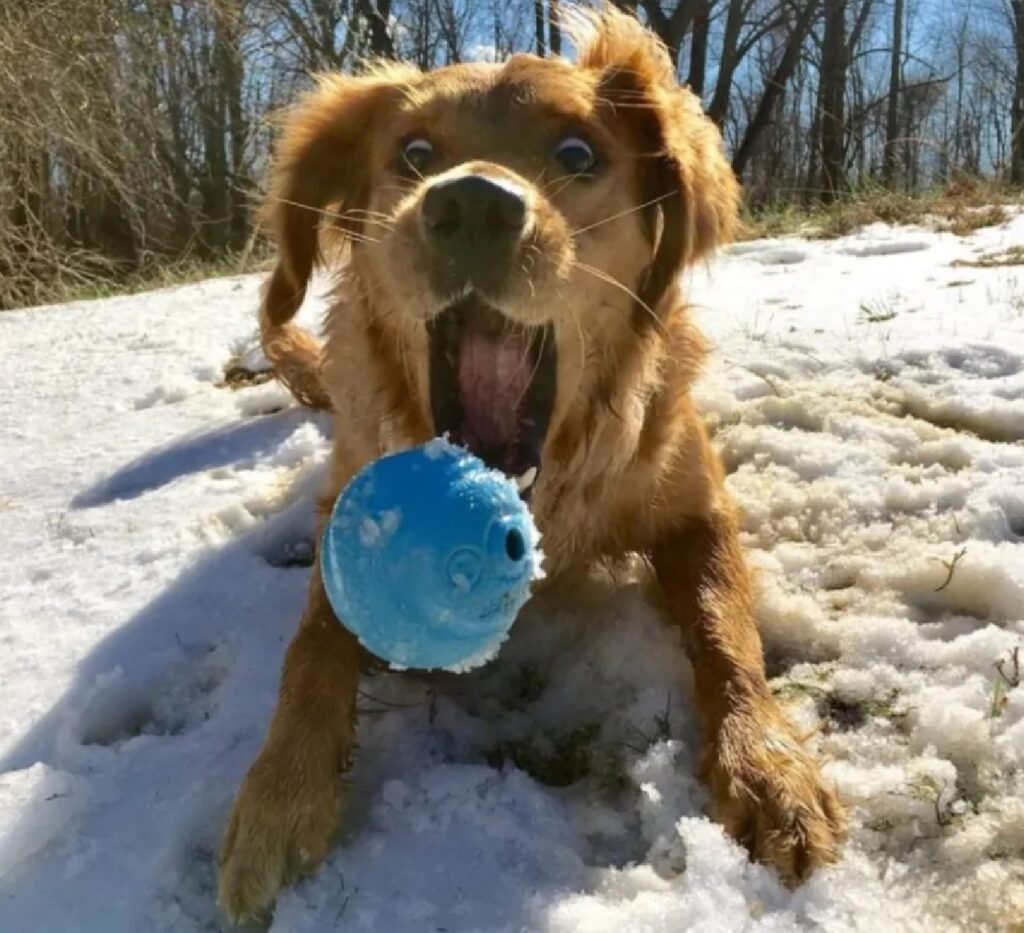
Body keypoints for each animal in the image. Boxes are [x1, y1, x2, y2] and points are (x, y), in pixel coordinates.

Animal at [218, 7, 847, 921]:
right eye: (413, 152)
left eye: (579, 152)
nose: (472, 203)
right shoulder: (346, 514)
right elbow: (312, 647)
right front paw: (279, 792)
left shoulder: (698, 510)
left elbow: (727, 629)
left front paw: (767, 767)